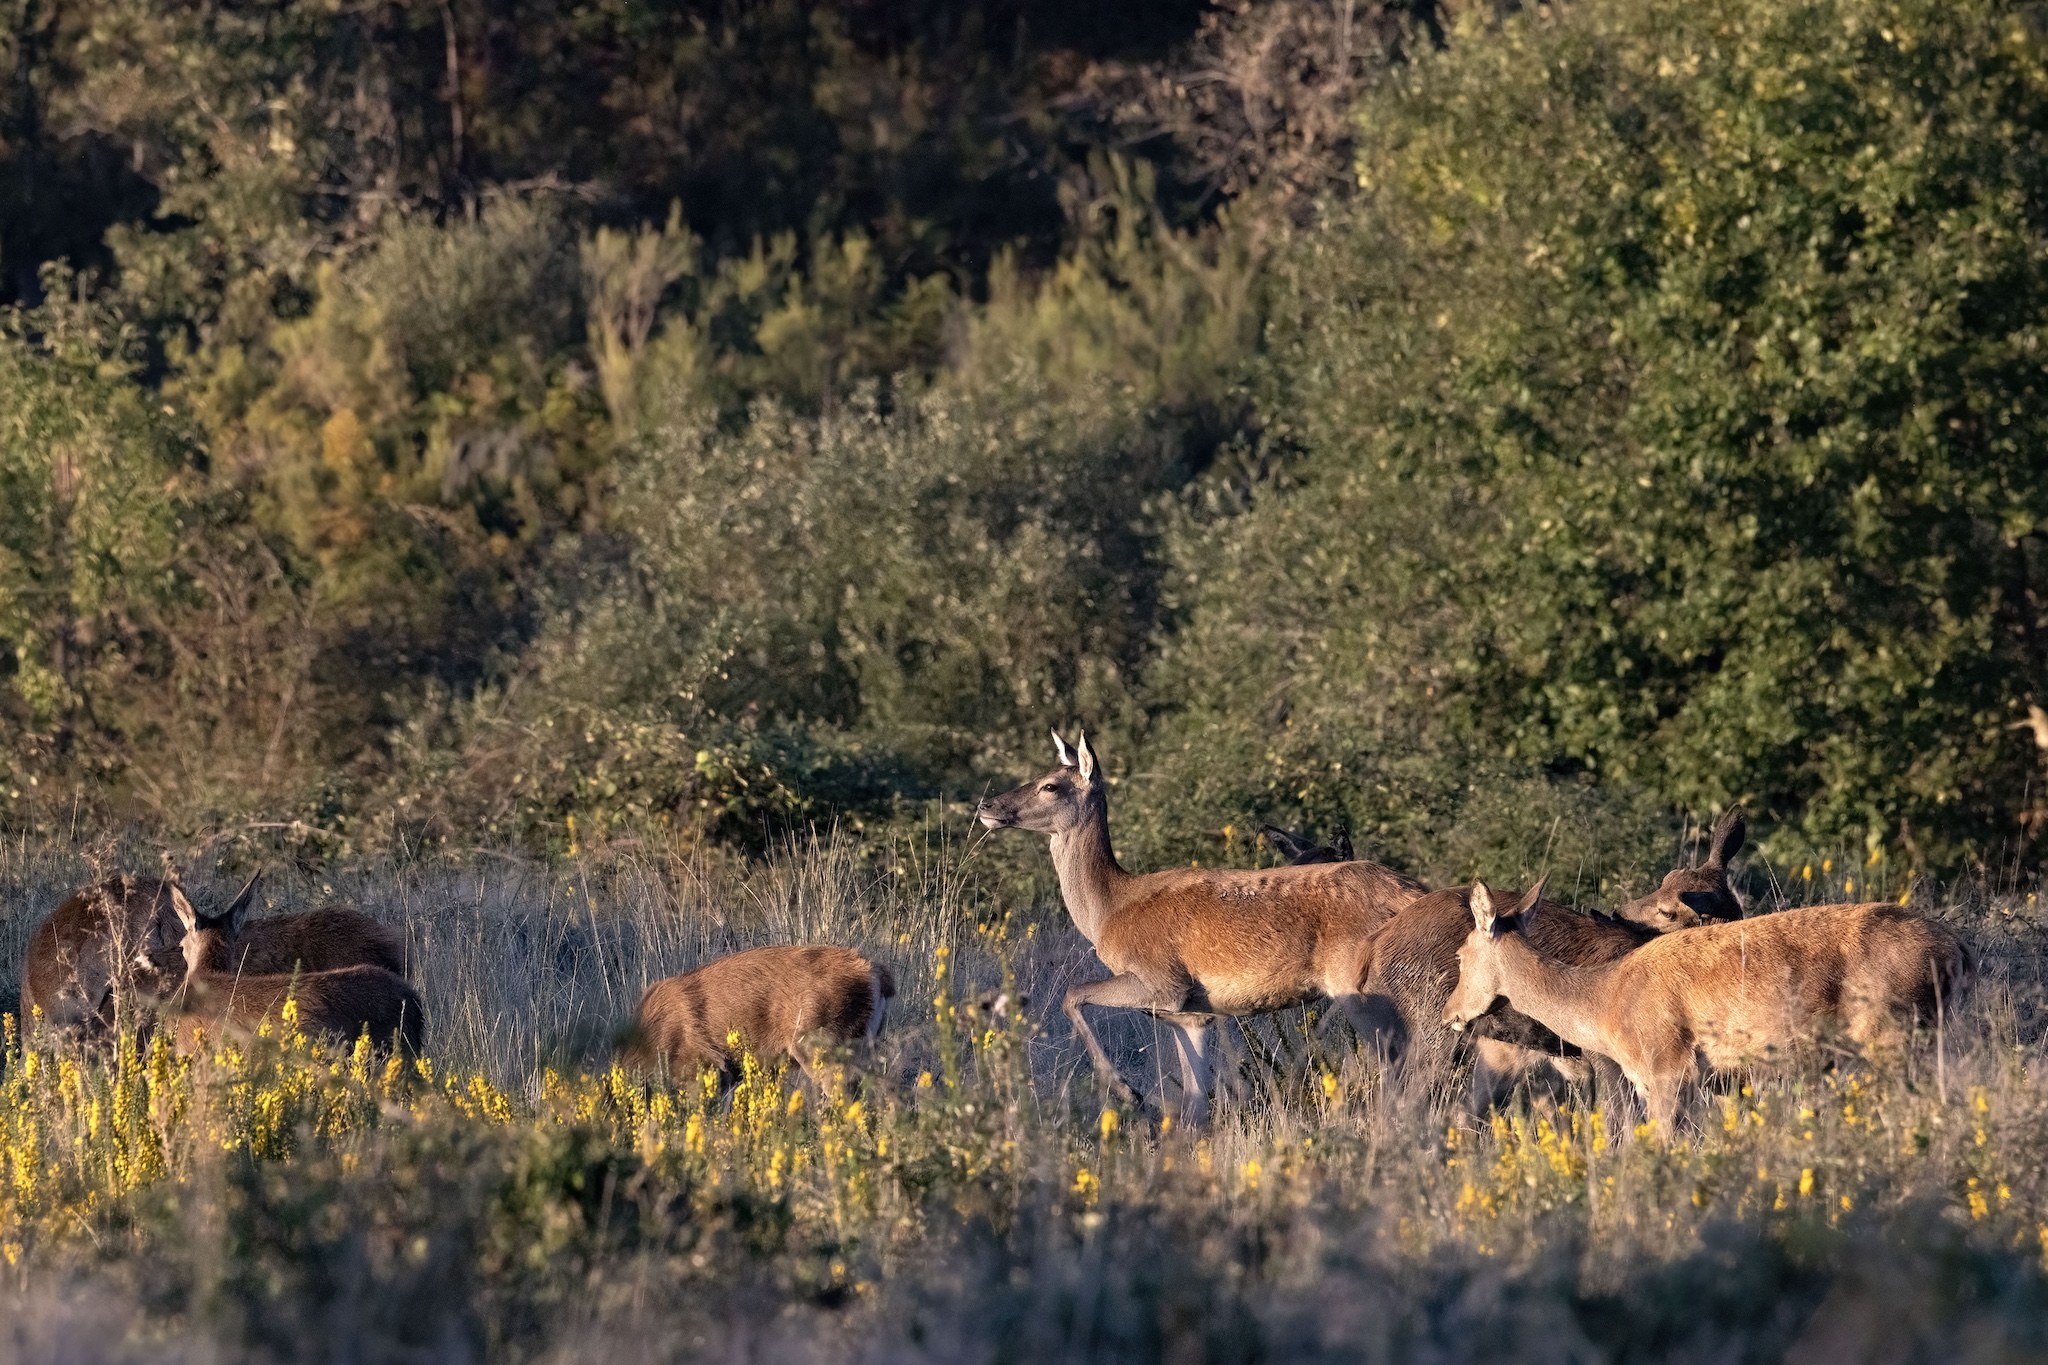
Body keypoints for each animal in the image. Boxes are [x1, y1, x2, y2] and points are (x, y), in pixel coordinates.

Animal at [976, 730, 1428, 1125]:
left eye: (1050, 785)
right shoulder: (1192, 1014)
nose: (987, 804)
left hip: (1360, 985)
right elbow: (1195, 1104)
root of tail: (1413, 893)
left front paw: (1129, 1092)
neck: (1109, 911)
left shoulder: (1163, 982)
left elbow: (1072, 994)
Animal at [1443, 881, 1971, 1132]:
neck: (1606, 1005)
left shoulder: (1668, 1066)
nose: (1450, 1014)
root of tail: (1957, 951)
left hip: (1893, 1032)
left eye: (1462, 954)